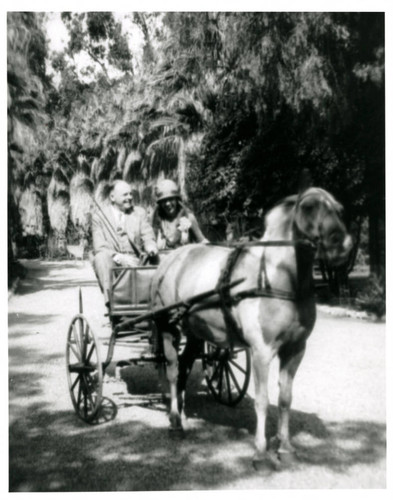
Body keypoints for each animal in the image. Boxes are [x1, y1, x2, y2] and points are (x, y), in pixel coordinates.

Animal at [149, 186, 350, 466]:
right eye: (309, 207)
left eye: (340, 209)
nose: (342, 245)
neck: (275, 277)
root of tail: (169, 262)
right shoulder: (261, 352)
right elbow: (262, 401)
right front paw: (260, 453)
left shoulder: (296, 349)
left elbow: (285, 398)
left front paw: (285, 448)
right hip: (169, 328)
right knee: (172, 370)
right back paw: (176, 421)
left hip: (195, 332)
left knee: (185, 367)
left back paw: (182, 415)